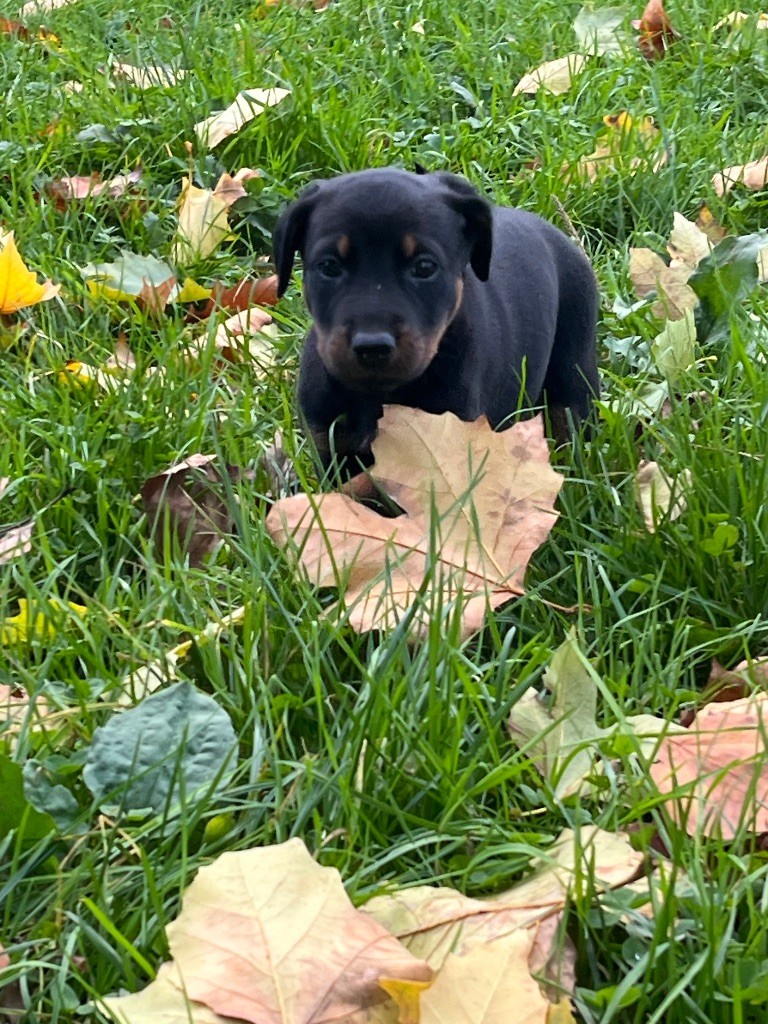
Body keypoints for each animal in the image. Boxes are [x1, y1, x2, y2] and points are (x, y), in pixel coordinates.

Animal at [272, 168, 602, 471]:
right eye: (329, 266)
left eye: (424, 267)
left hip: (575, 371)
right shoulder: (329, 447)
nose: (372, 347)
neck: (378, 395)